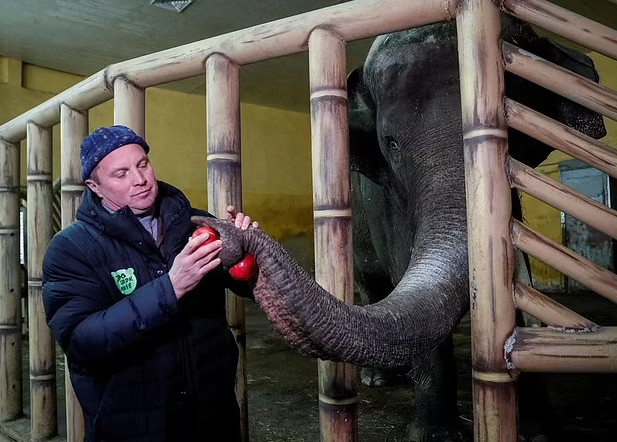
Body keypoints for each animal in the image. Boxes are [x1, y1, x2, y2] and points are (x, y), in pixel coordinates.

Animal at [195, 13, 604, 442]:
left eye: (514, 132)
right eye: (391, 144)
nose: (232, 229)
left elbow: (518, 283)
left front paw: (539, 430)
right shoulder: (382, 201)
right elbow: (403, 263)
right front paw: (436, 436)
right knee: (374, 285)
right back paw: (380, 378)